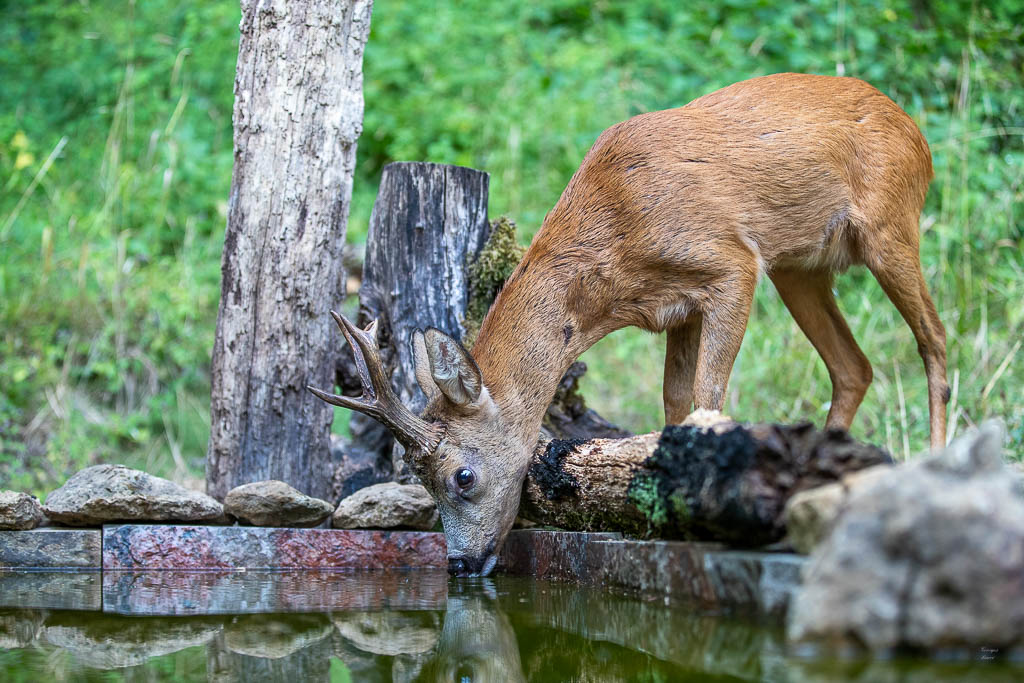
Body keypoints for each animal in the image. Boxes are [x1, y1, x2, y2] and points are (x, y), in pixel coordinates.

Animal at [307, 74, 946, 577]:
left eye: (462, 476)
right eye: (419, 479)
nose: (460, 564)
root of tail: (916, 132)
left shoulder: (732, 263)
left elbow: (708, 396)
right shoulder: (679, 309)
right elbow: (674, 405)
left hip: (889, 224)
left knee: (934, 340)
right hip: (800, 268)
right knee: (854, 366)